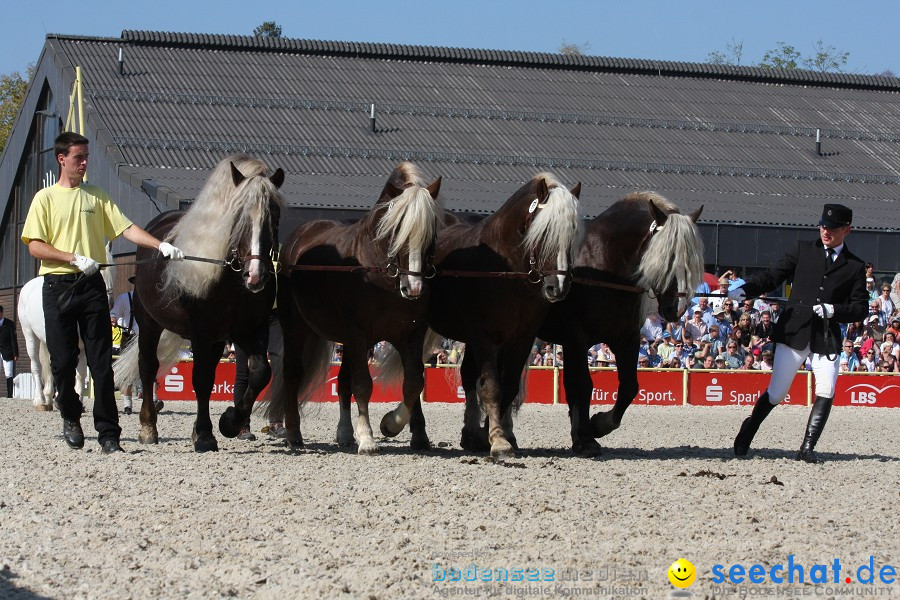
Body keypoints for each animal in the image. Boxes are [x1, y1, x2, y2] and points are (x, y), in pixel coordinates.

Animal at [17, 248, 115, 412]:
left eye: (114, 272)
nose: (109, 302)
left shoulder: (83, 345)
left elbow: (80, 374)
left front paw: (78, 402)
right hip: (30, 335)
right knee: (36, 366)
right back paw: (40, 401)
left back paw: (49, 398)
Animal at [116, 155, 284, 450]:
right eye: (239, 216)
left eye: (274, 216)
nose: (255, 275)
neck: (231, 283)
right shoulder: (201, 333)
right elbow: (202, 379)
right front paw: (205, 435)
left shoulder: (251, 330)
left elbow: (260, 372)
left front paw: (229, 422)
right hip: (149, 324)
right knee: (148, 367)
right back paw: (148, 427)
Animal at [268, 162, 442, 452]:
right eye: (397, 231)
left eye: (432, 232)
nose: (414, 288)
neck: (380, 276)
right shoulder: (359, 333)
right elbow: (363, 384)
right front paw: (368, 438)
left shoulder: (409, 335)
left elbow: (414, 381)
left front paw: (392, 425)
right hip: (296, 327)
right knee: (293, 373)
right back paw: (293, 432)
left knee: (342, 382)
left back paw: (345, 433)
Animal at [380, 173, 584, 460]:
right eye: (544, 232)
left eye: (573, 233)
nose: (558, 287)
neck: (506, 272)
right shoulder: (486, 338)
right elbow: (491, 387)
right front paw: (497, 441)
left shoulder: (521, 340)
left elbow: (507, 387)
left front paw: (492, 434)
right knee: (416, 372)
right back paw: (419, 434)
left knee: (465, 376)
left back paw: (470, 433)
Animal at [536, 192, 708, 454]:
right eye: (667, 258)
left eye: (691, 262)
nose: (676, 309)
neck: (603, 269)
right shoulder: (577, 340)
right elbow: (583, 385)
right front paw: (586, 437)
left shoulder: (626, 340)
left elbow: (628, 387)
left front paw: (597, 426)